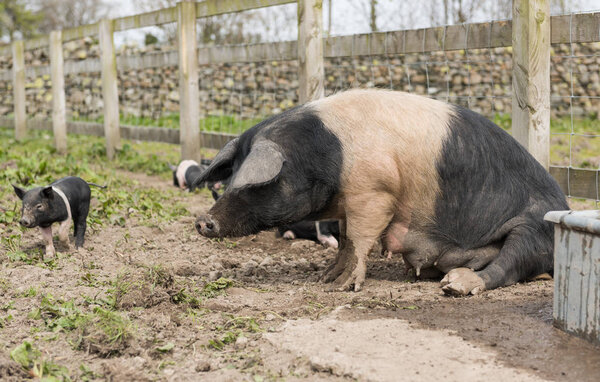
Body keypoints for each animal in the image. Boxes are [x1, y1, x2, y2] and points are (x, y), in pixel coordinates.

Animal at [191, 89, 568, 296]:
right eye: (231, 176)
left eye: (256, 183)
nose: (202, 222)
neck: (326, 156)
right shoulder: (349, 203)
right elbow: (345, 240)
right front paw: (324, 277)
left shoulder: (374, 191)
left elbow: (360, 240)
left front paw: (343, 287)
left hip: (534, 226)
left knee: (509, 265)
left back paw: (455, 285)